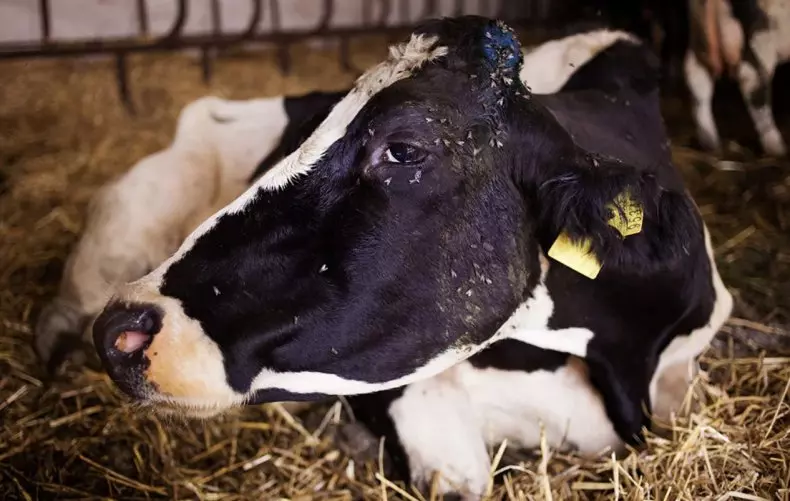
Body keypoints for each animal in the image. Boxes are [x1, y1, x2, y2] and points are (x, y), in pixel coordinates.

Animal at [37, 17, 732, 500]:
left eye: (402, 151)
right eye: (312, 128)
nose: (123, 328)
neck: (624, 363)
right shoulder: (406, 398)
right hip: (122, 227)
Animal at [684, 0, 790, 157]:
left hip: (699, 30)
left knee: (696, 75)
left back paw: (710, 143)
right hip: (758, 36)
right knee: (753, 84)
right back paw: (777, 148)